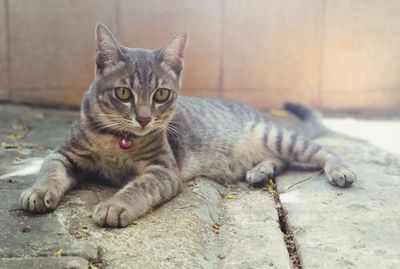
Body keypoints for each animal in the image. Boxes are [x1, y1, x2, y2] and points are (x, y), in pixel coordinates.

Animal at [20, 24, 354, 227]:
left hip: (273, 135)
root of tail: (257, 113)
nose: (144, 118)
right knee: (280, 161)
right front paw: (38, 191)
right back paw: (260, 171)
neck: (119, 140)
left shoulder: (162, 169)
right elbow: (49, 169)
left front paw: (115, 205)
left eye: (161, 94)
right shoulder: (64, 153)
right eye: (123, 93)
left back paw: (340, 171)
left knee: (319, 151)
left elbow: (138, 187)